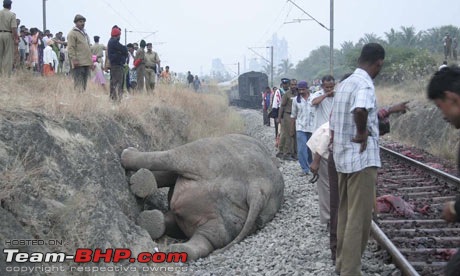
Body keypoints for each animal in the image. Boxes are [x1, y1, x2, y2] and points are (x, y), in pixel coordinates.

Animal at [120, 134, 284, 260]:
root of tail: (259, 187)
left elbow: (169, 174)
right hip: (236, 217)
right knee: (211, 236)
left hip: (206, 155)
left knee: (173, 157)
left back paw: (127, 154)